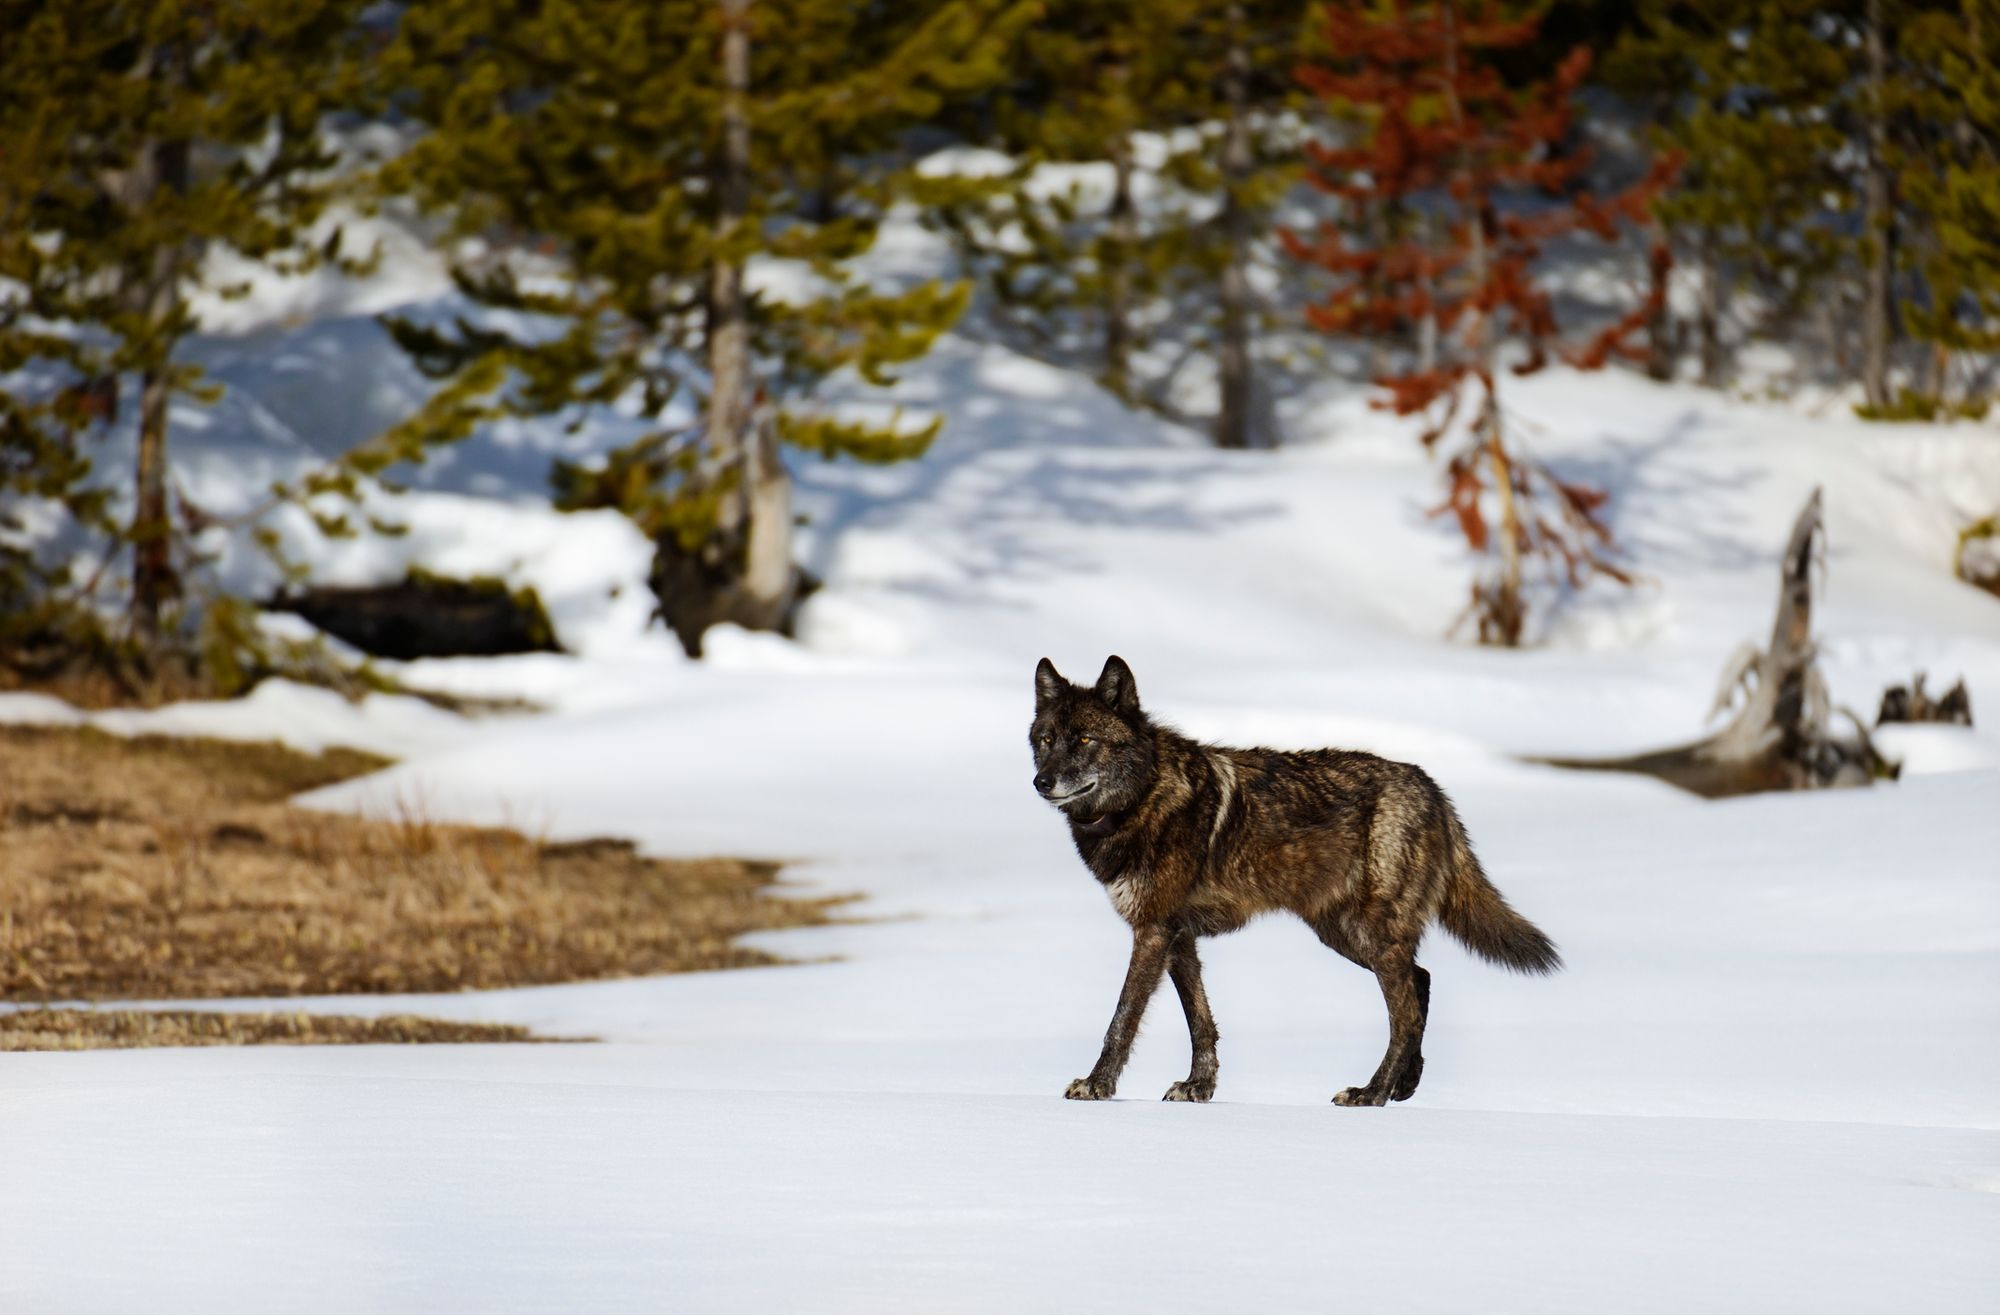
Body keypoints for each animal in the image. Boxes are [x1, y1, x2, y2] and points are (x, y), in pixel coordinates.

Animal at [1032, 651, 1560, 1103]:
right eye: (1046, 740)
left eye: (1085, 740)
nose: (1041, 782)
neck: (1143, 798)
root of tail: (1432, 788)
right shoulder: (1178, 937)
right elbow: (1200, 1021)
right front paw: (1199, 1086)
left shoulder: (1153, 931)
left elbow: (1122, 1018)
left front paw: (1097, 1085)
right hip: (1344, 935)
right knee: (1423, 981)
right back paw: (1403, 1086)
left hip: (1368, 936)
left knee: (1407, 1013)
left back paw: (1372, 1093)